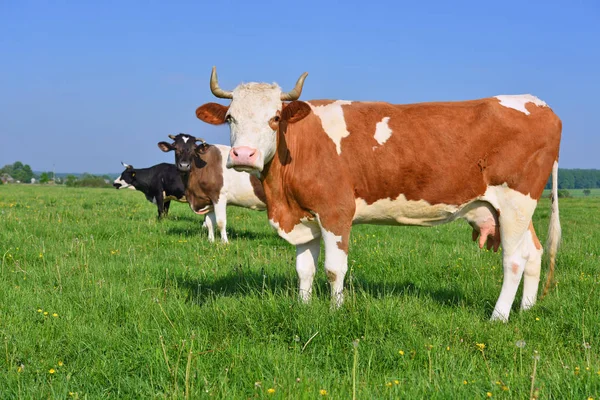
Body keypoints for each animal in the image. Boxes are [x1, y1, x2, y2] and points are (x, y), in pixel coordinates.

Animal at [197, 66, 564, 322]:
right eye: (230, 117)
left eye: (275, 118)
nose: (243, 155)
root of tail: (538, 103)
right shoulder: (302, 214)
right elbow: (304, 269)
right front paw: (303, 307)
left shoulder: (335, 211)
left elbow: (334, 268)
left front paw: (335, 312)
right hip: (510, 208)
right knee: (533, 253)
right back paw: (526, 311)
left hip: (516, 201)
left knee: (513, 260)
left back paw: (498, 317)